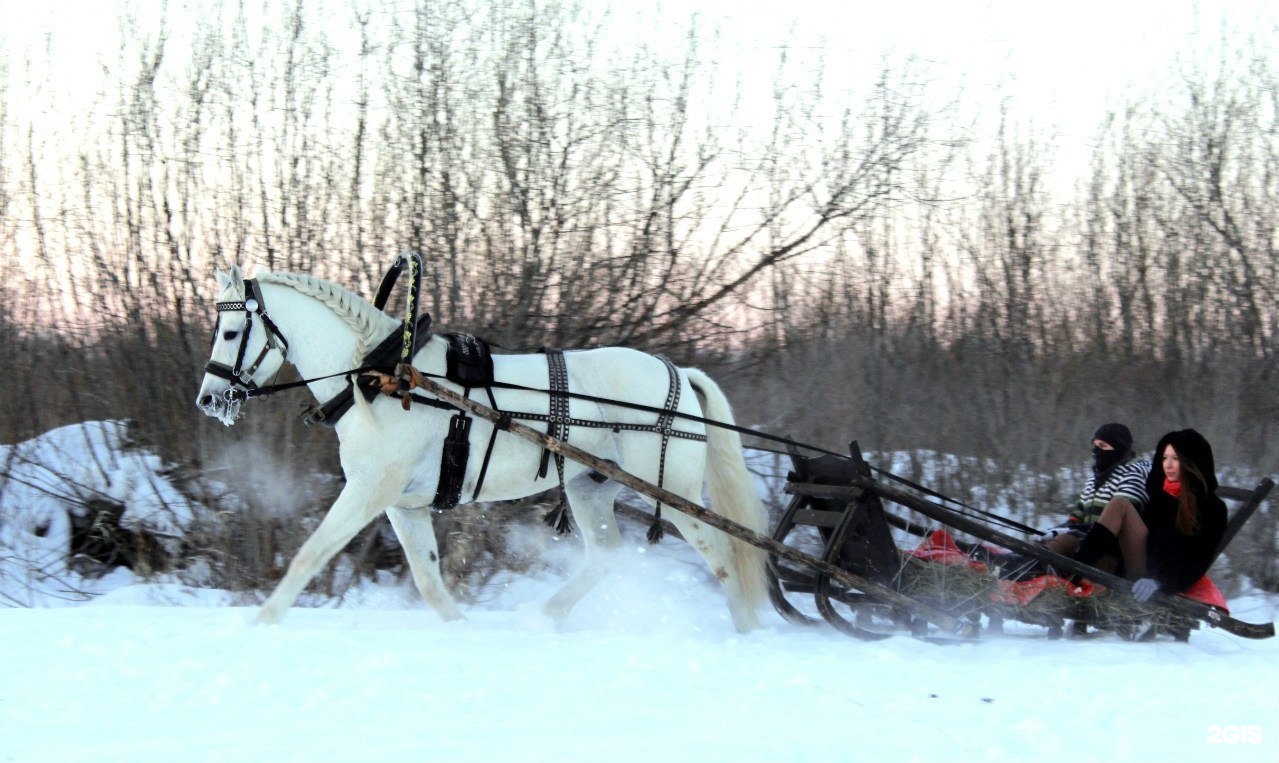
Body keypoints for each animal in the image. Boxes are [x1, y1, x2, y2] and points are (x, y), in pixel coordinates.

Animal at [194, 265, 762, 631]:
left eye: (231, 331)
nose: (208, 398)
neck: (380, 377)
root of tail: (677, 372)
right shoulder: (402, 504)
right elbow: (428, 578)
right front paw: (460, 627)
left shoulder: (368, 491)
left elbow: (309, 555)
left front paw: (260, 622)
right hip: (591, 487)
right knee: (606, 557)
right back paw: (544, 619)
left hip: (675, 492)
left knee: (723, 557)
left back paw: (743, 632)